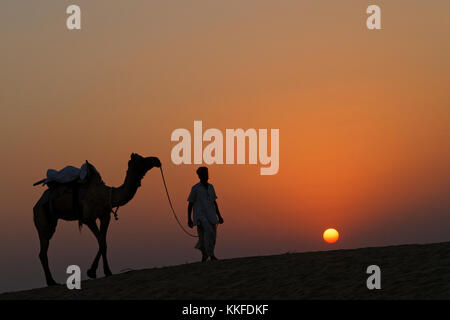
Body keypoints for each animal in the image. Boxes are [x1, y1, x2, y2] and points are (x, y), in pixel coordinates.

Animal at [32, 152, 162, 284]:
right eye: (141, 159)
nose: (156, 159)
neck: (106, 195)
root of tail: (36, 204)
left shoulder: (105, 216)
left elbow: (103, 242)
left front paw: (98, 271)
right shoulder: (88, 219)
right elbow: (101, 241)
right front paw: (98, 271)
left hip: (52, 220)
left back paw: (51, 281)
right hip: (41, 216)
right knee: (43, 249)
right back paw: (51, 281)